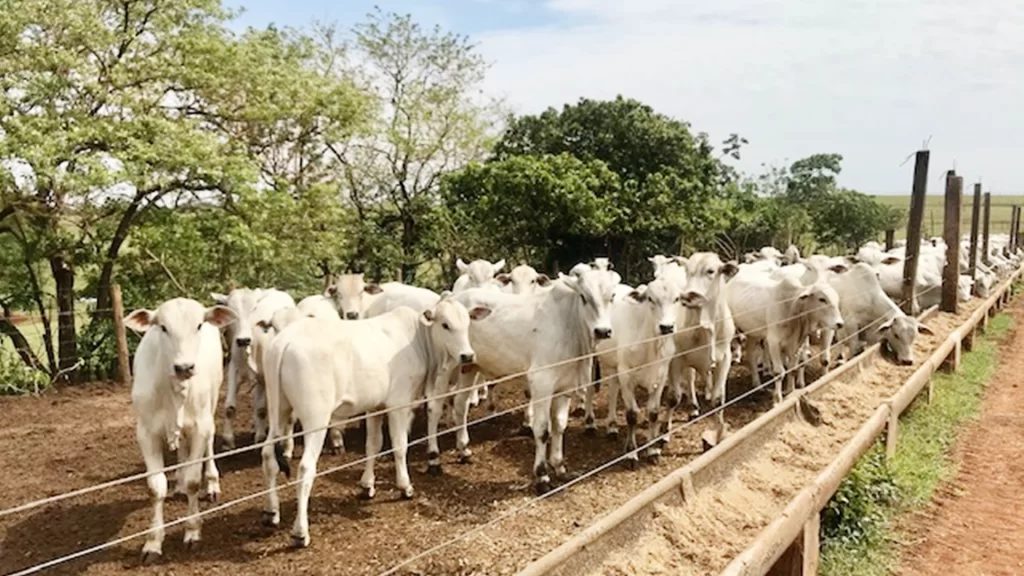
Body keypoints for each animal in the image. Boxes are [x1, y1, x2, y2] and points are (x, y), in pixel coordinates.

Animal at [125, 297, 235, 557]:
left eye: (198, 325)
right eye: (163, 327)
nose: (184, 367)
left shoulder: (200, 426)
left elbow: (195, 481)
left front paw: (193, 530)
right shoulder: (146, 432)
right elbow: (156, 488)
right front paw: (153, 542)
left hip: (211, 406)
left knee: (209, 444)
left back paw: (211, 483)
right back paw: (180, 482)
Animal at [262, 297, 489, 545]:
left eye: (467, 323)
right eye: (445, 324)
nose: (467, 356)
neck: (418, 338)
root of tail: (285, 341)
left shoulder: (374, 407)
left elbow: (372, 445)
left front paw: (367, 486)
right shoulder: (399, 403)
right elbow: (399, 446)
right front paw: (405, 487)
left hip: (277, 411)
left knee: (268, 455)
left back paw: (272, 513)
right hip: (315, 418)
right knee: (305, 468)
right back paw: (300, 532)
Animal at [454, 266, 614, 491]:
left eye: (612, 296)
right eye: (584, 297)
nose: (603, 331)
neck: (569, 325)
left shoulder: (565, 387)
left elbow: (559, 425)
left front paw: (560, 466)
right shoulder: (542, 383)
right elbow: (542, 429)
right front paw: (542, 475)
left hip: (469, 367)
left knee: (460, 405)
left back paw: (463, 450)